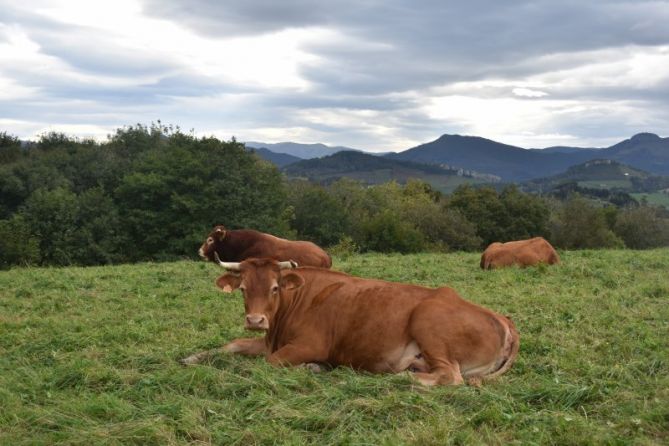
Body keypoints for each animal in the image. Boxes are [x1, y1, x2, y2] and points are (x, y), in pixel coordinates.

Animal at [180, 258, 520, 386]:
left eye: (275, 288)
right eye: (243, 289)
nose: (255, 319)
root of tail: (503, 318)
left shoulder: (308, 345)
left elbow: (271, 363)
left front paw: (315, 367)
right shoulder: (267, 340)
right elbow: (232, 344)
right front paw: (192, 357)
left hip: (429, 321)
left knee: (450, 376)